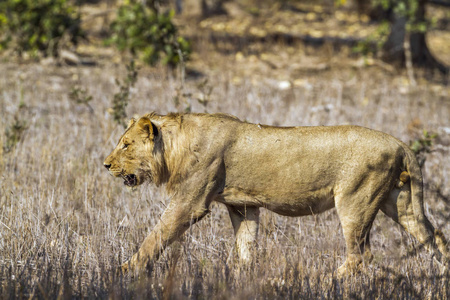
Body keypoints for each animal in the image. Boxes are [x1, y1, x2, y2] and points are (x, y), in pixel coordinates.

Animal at [103, 111, 448, 276]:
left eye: (126, 145)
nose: (105, 165)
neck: (177, 147)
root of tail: (400, 143)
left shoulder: (191, 202)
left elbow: (156, 236)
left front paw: (124, 271)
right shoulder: (242, 206)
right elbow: (245, 245)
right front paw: (244, 276)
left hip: (354, 202)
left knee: (361, 256)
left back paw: (325, 281)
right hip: (401, 203)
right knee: (435, 238)